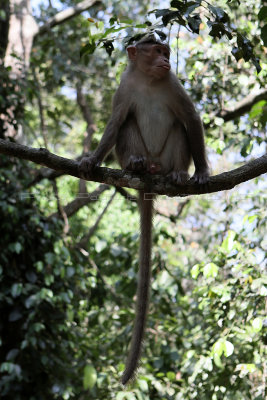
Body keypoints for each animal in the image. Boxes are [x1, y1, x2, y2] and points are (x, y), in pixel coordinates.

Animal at [78, 34, 210, 384]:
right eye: (157, 51)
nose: (166, 60)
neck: (149, 80)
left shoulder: (173, 83)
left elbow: (191, 119)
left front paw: (202, 171)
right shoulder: (124, 88)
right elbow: (115, 122)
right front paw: (92, 160)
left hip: (167, 158)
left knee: (179, 129)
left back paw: (177, 175)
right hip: (135, 154)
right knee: (127, 125)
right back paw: (137, 165)